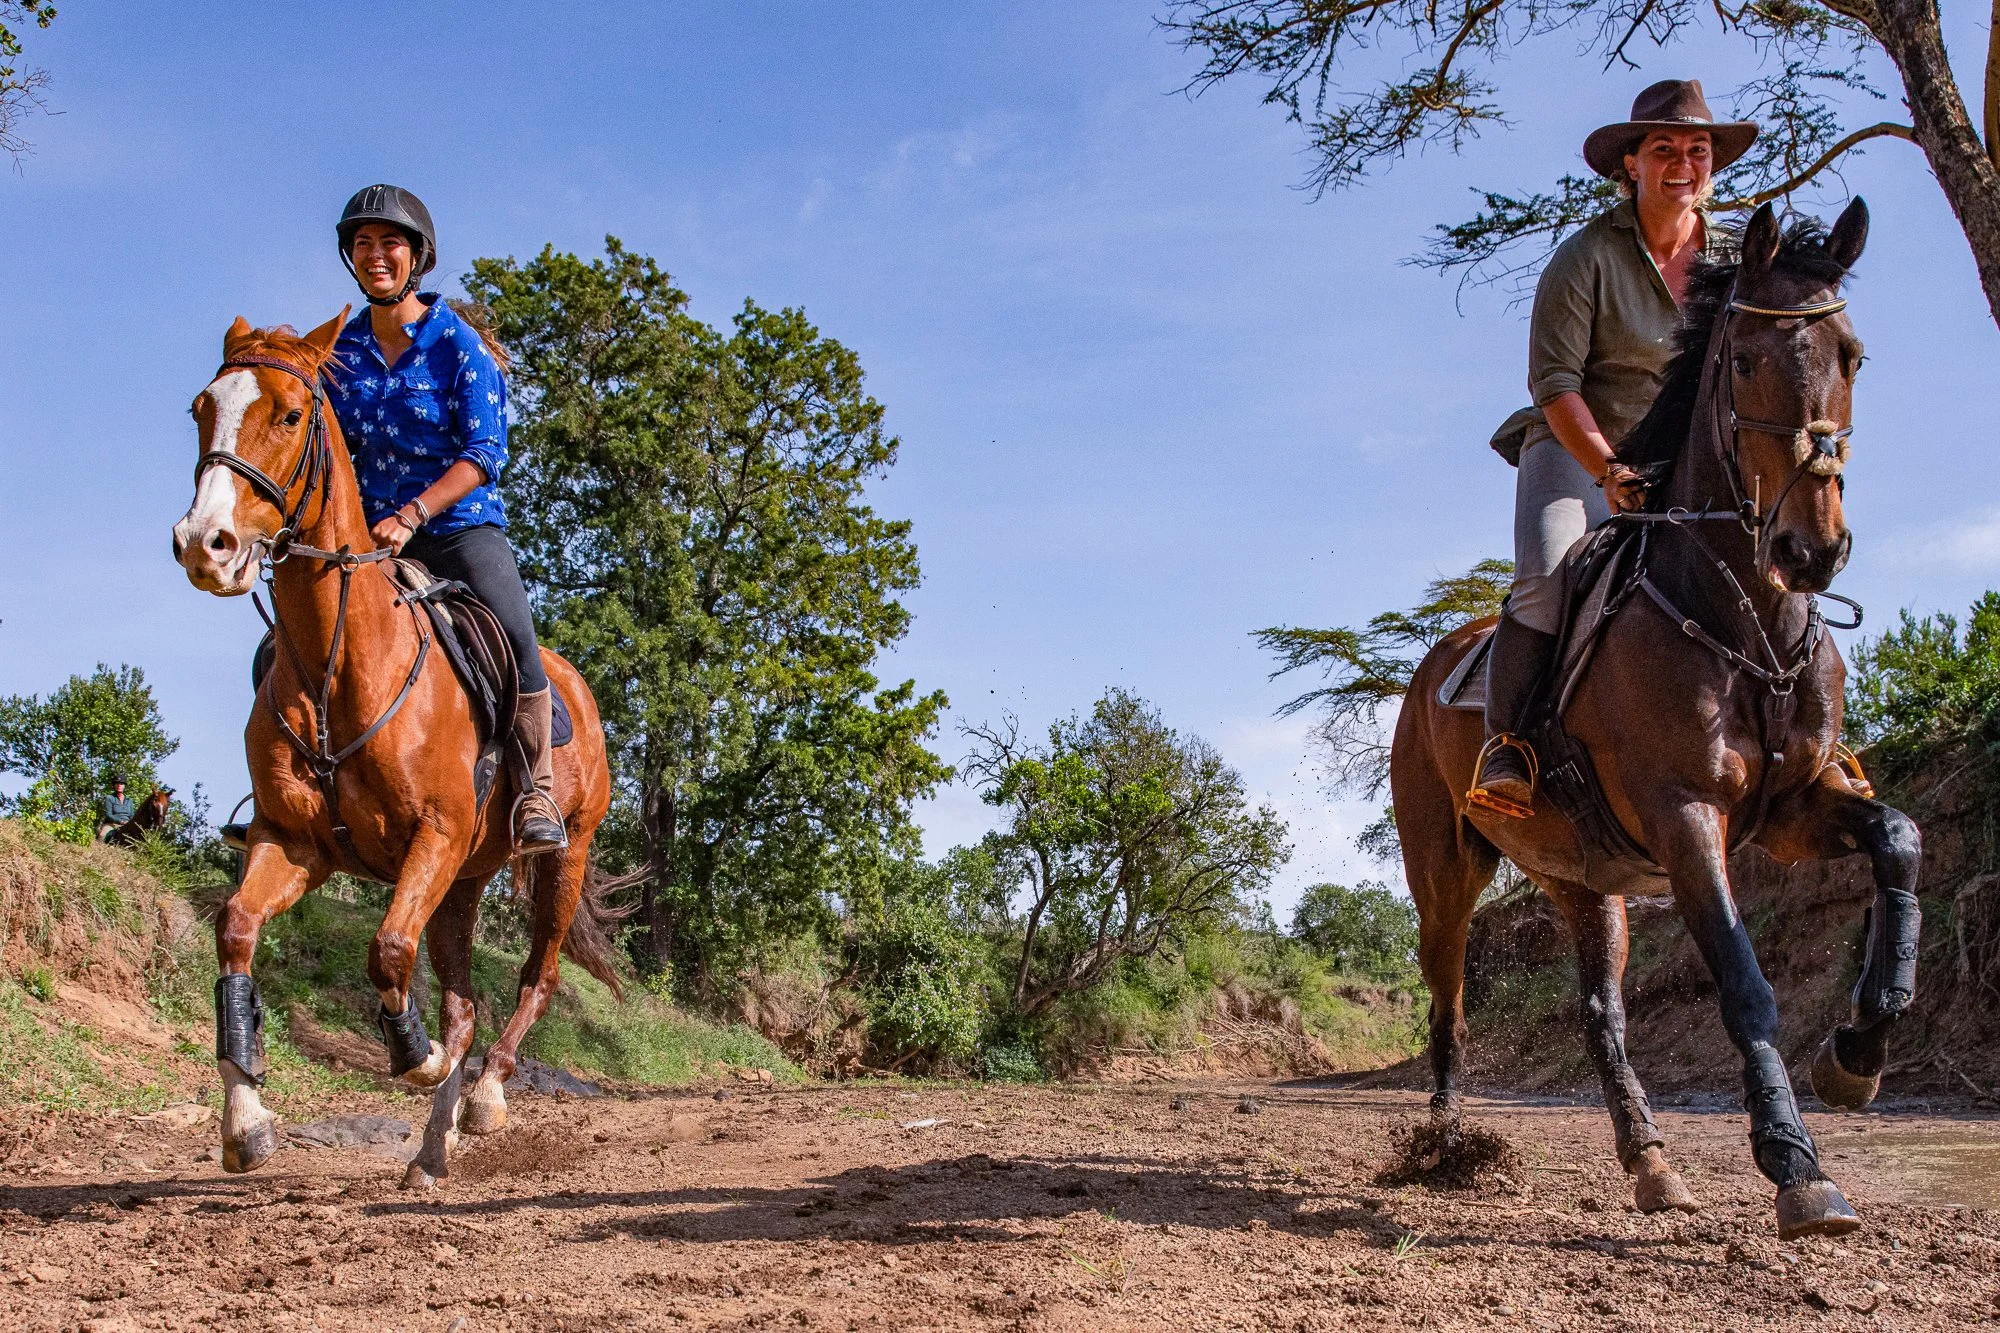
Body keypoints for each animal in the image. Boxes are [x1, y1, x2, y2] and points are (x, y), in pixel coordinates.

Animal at [172, 313, 624, 1186]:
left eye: (289, 414)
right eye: (201, 408)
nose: (206, 545)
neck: (342, 662)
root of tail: (579, 688)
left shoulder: (433, 837)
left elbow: (385, 952)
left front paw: (416, 1058)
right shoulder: (295, 843)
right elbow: (237, 932)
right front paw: (246, 1125)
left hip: (561, 856)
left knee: (537, 978)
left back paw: (484, 1098)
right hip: (463, 883)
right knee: (465, 1001)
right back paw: (430, 1150)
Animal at [1390, 200, 1920, 1239]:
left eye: (1852, 354)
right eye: (1744, 359)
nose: (1812, 549)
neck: (1740, 616)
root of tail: (1433, 660)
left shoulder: (1794, 807)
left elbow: (1899, 838)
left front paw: (1857, 1052)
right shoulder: (1685, 817)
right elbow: (1745, 982)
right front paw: (1795, 1164)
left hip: (1582, 878)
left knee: (1601, 1010)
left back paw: (1650, 1160)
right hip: (1444, 872)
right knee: (1450, 1004)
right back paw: (1446, 1145)